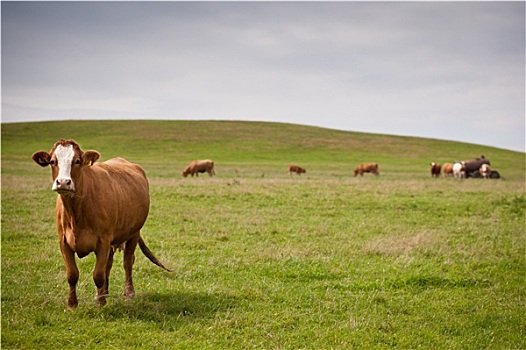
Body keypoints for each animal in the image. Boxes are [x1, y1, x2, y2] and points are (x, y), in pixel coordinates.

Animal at [32, 139, 171, 308]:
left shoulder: (103, 241)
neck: (76, 212)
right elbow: (72, 274)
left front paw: (100, 302)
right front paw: (72, 304)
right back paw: (105, 291)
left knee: (127, 262)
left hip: (133, 233)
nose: (63, 182)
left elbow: (98, 274)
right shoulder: (64, 242)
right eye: (52, 161)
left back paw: (128, 292)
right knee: (109, 264)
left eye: (77, 161)